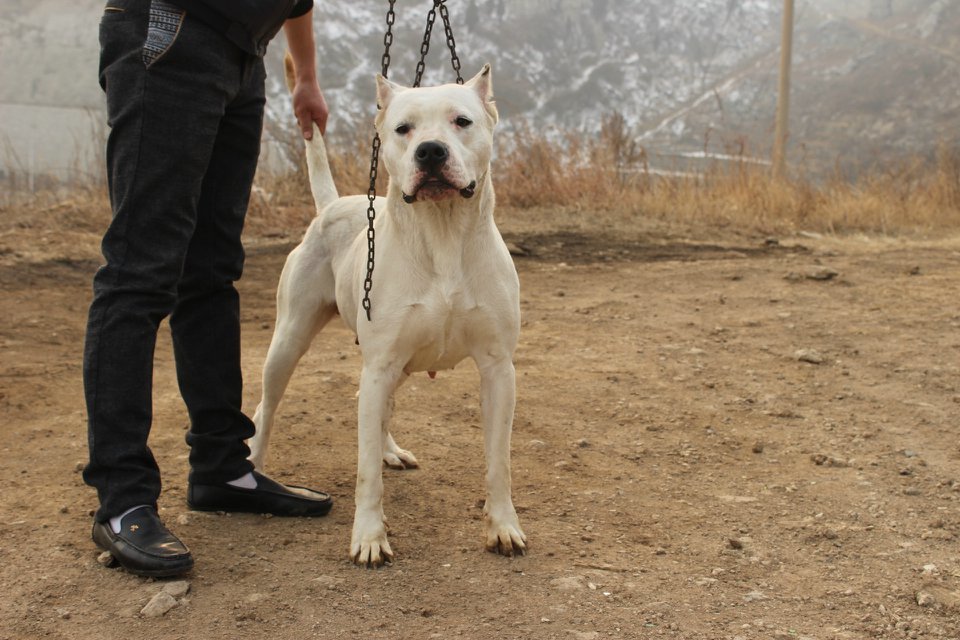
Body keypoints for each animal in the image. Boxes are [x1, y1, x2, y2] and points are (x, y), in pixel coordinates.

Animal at [248, 61, 528, 564]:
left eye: (462, 121)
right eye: (403, 129)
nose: (430, 151)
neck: (442, 232)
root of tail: (332, 204)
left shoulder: (498, 369)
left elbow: (499, 462)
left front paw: (503, 526)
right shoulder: (380, 363)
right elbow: (365, 476)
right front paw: (369, 536)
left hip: (392, 364)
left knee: (372, 409)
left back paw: (389, 450)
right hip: (289, 341)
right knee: (268, 406)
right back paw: (254, 470)